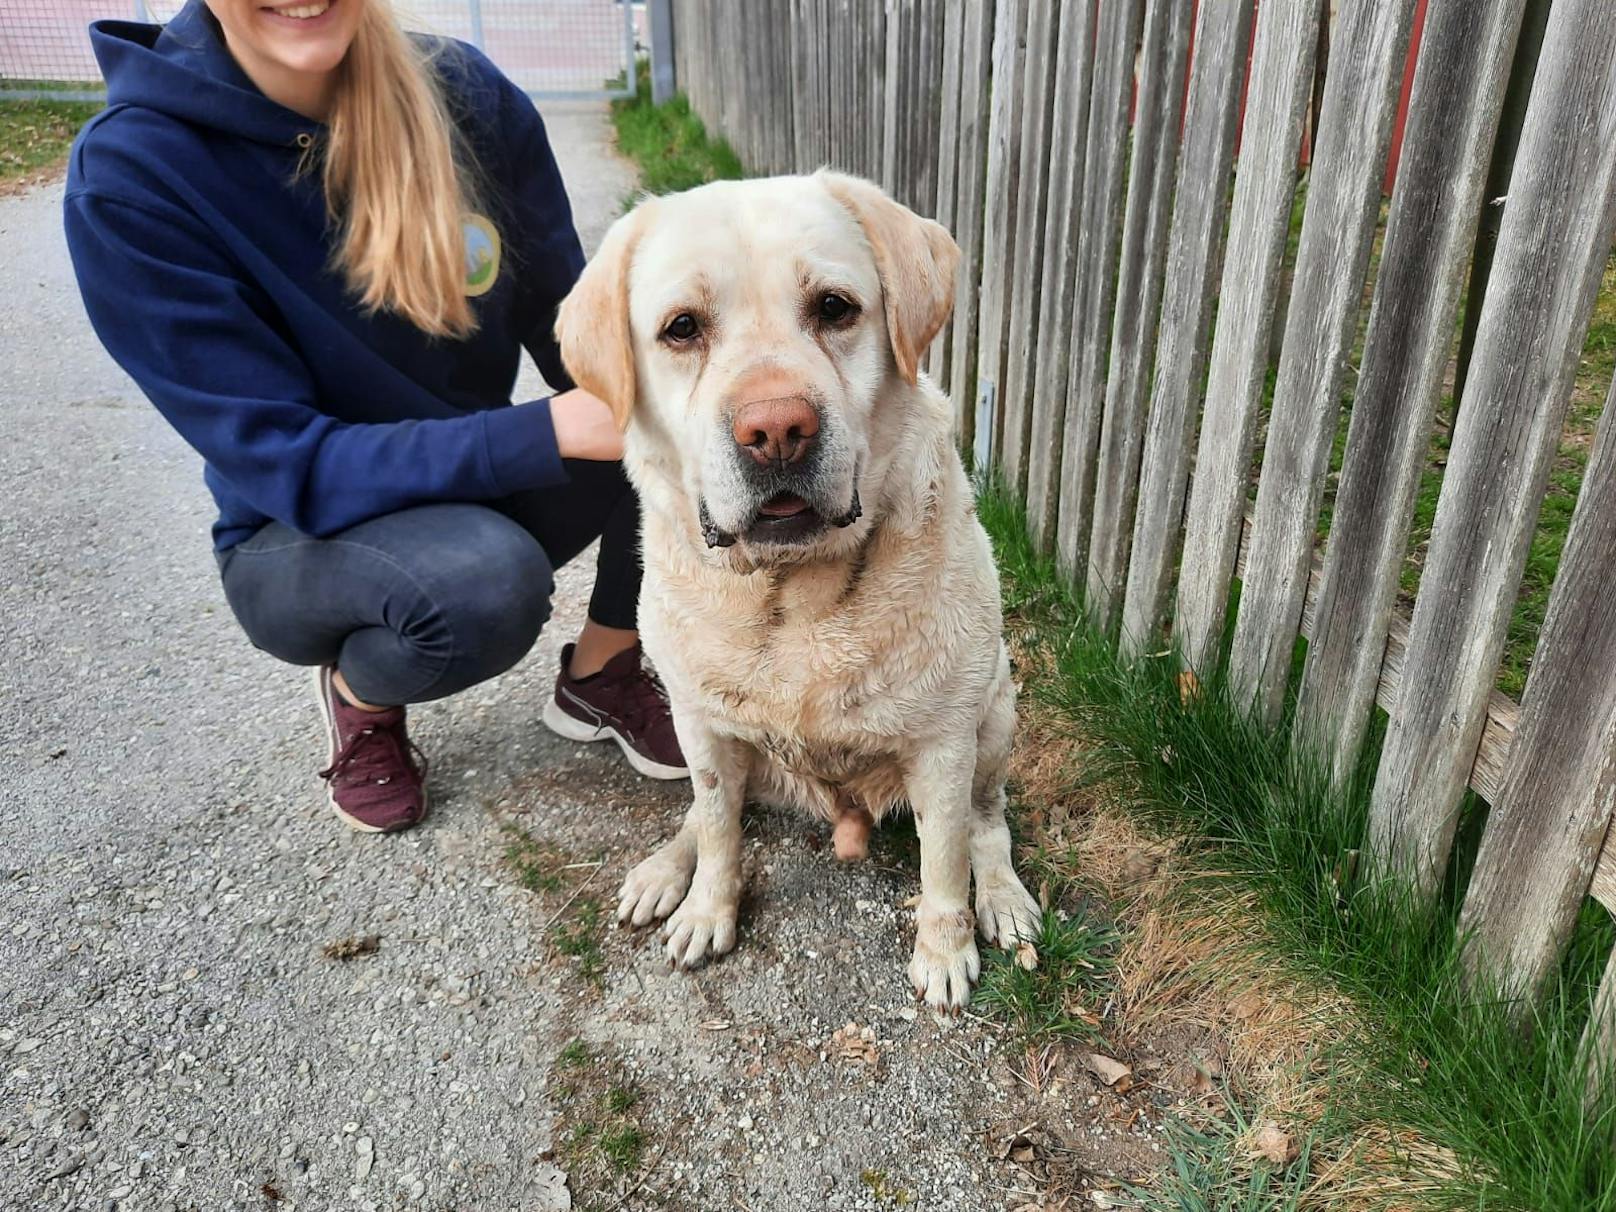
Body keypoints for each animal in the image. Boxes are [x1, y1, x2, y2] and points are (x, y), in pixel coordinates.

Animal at [552, 168, 1034, 1008]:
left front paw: (945, 949)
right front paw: (708, 909)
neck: (789, 595)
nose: (776, 429)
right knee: (705, 812)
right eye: (681, 328)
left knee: (987, 820)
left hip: (997, 714)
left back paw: (1001, 896)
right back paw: (663, 873)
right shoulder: (701, 724)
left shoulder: (944, 741)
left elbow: (946, 855)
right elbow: (717, 829)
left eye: (834, 308)